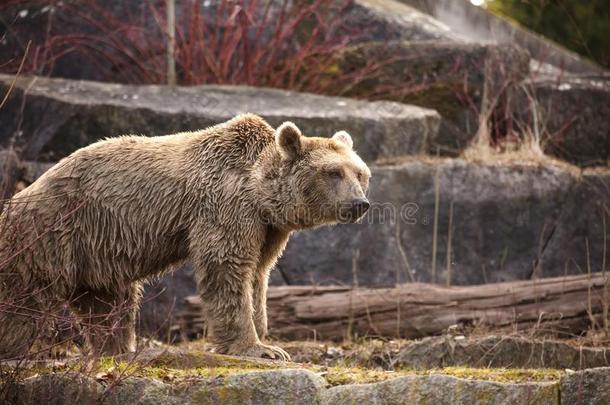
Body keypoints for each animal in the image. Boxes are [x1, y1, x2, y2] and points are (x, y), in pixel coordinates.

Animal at [0, 113, 370, 356]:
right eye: (333, 172)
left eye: (361, 173)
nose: (360, 204)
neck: (259, 192)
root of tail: (20, 196)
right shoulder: (225, 207)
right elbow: (227, 268)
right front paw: (256, 347)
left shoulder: (268, 228)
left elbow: (257, 275)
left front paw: (266, 337)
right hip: (51, 232)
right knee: (23, 302)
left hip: (97, 250)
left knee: (108, 303)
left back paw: (117, 349)